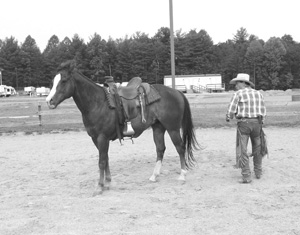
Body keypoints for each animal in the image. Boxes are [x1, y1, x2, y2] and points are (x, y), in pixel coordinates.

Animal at [45, 60, 198, 195]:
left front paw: (99, 187)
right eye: (53, 81)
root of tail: (177, 92)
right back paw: (154, 176)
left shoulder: (102, 138)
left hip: (172, 129)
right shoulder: (96, 139)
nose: (49, 101)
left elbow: (101, 162)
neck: (98, 103)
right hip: (158, 128)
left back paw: (182, 176)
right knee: (160, 149)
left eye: (64, 81)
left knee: (180, 148)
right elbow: (106, 159)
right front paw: (108, 182)